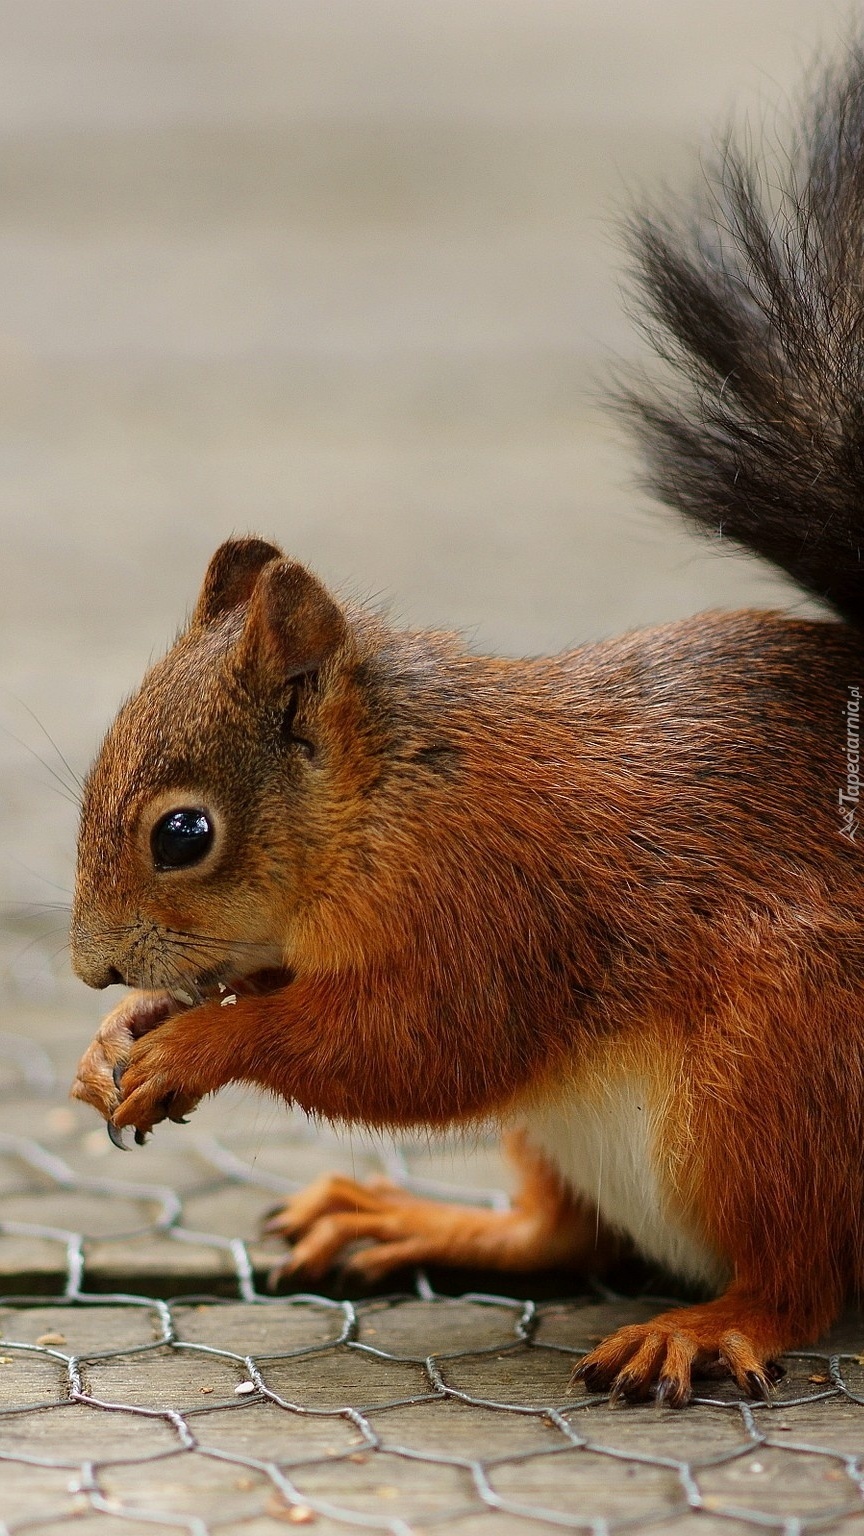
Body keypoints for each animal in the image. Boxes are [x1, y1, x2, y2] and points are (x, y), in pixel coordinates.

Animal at [68, 54, 864, 1406]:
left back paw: (715, 1324)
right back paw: (414, 1220)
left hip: (781, 1071)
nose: (90, 968)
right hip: (579, 1130)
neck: (392, 797)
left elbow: (411, 1043)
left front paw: (195, 1047)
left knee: (801, 1275)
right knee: (560, 1232)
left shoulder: (494, 901)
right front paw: (118, 1036)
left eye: (183, 835)